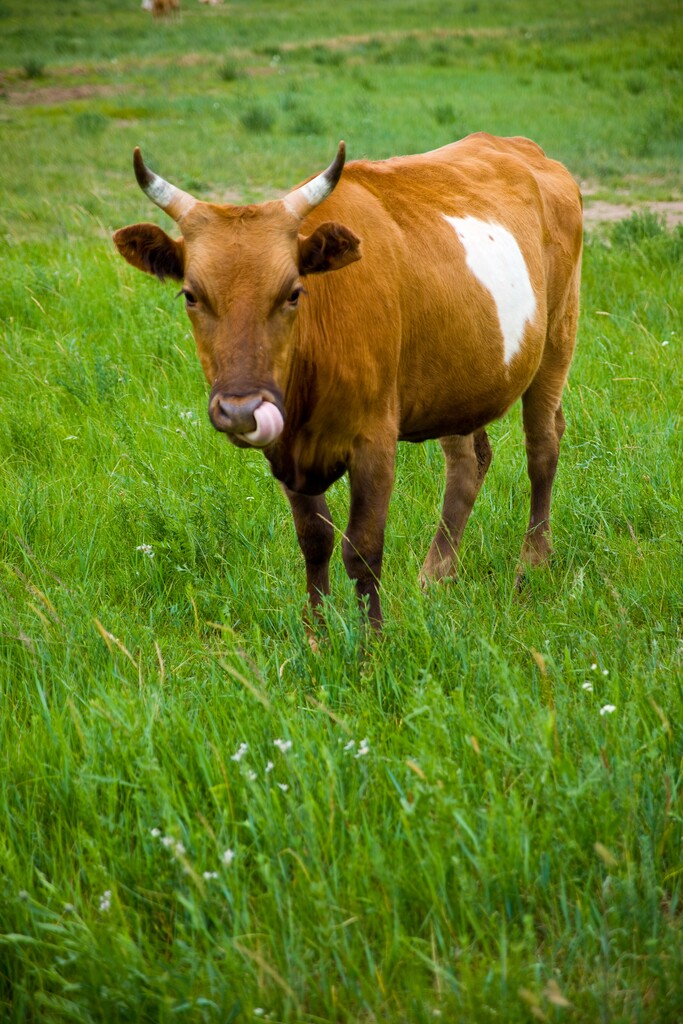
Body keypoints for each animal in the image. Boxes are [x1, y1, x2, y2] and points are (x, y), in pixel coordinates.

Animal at [113, 134, 581, 630]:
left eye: (293, 292)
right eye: (191, 295)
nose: (240, 410)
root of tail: (521, 147)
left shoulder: (375, 439)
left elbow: (363, 547)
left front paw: (371, 641)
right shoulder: (285, 447)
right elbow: (314, 539)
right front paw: (316, 633)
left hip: (558, 337)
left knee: (542, 448)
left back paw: (532, 565)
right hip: (459, 380)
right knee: (468, 463)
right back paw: (436, 577)